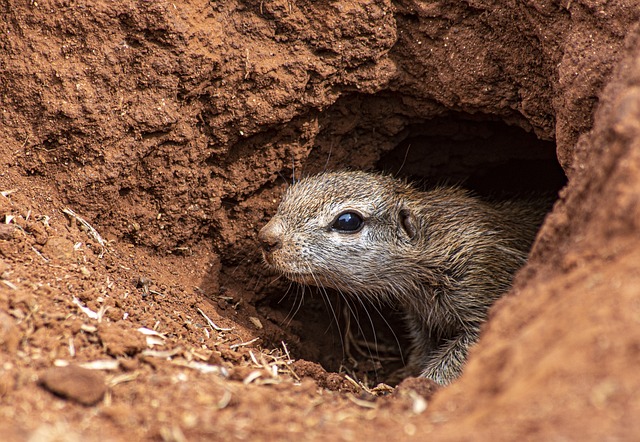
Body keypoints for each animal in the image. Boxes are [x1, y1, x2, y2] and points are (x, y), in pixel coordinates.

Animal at [258, 169, 548, 384]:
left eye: (348, 221)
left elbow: (455, 359)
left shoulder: (483, 297)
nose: (266, 238)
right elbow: (422, 348)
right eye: (289, 195)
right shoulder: (418, 318)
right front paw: (405, 373)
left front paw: (415, 386)